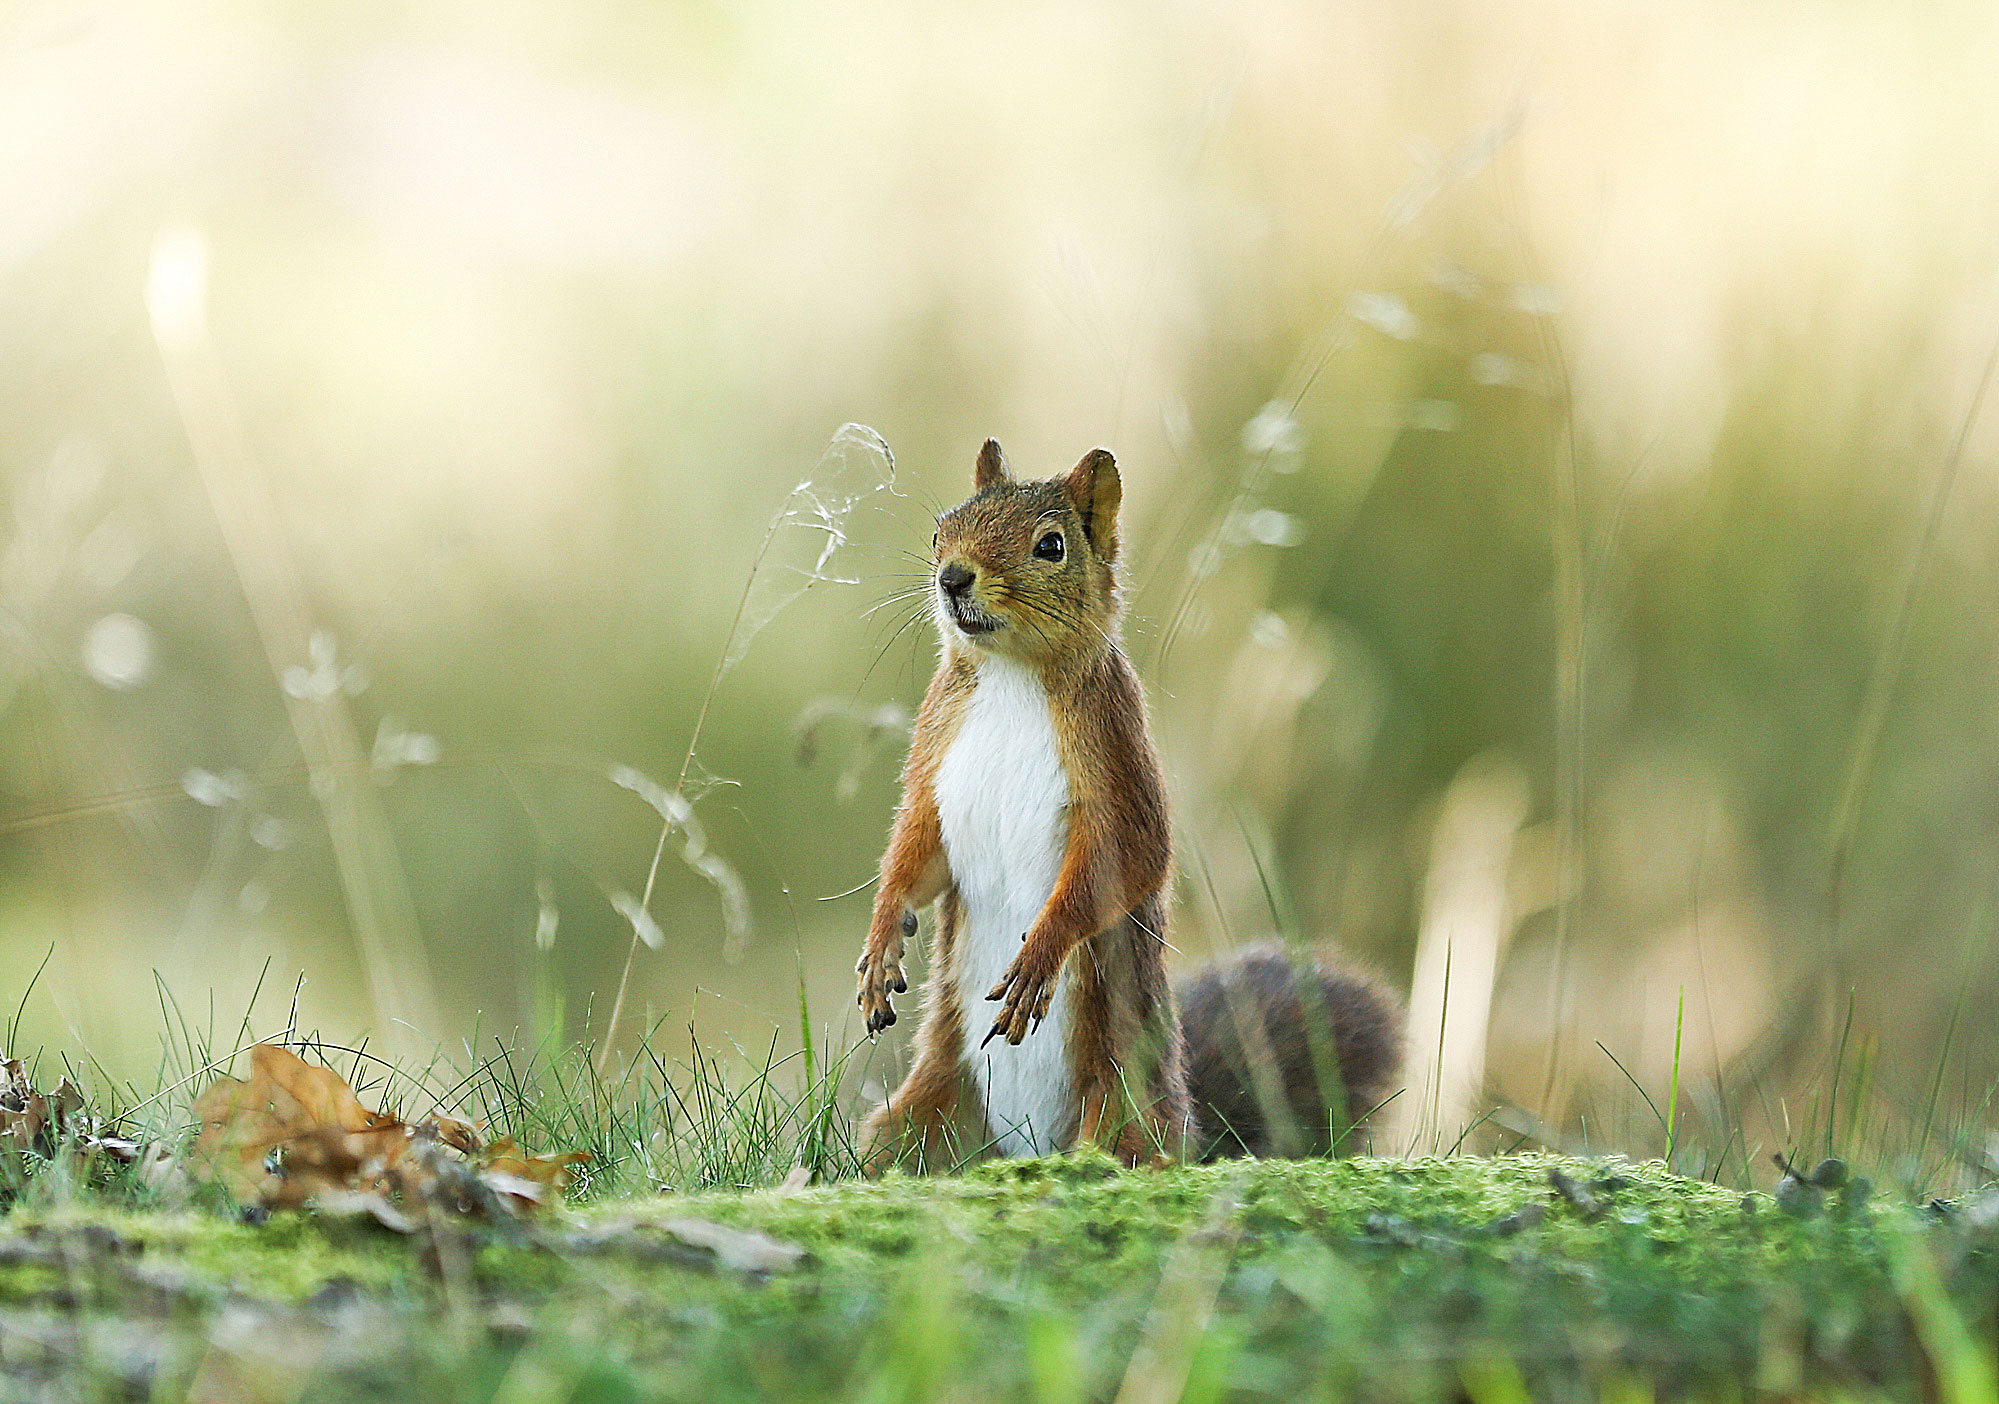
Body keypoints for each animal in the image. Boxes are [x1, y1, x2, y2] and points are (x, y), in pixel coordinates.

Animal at [859, 440, 1407, 1168]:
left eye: (1051, 545)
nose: (952, 578)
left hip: (1121, 1097)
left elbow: (1132, 860)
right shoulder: (935, 760)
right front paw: (881, 945)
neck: (1009, 673)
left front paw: (1039, 956)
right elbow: (914, 858)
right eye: (939, 530)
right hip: (922, 1111)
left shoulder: (1116, 755)